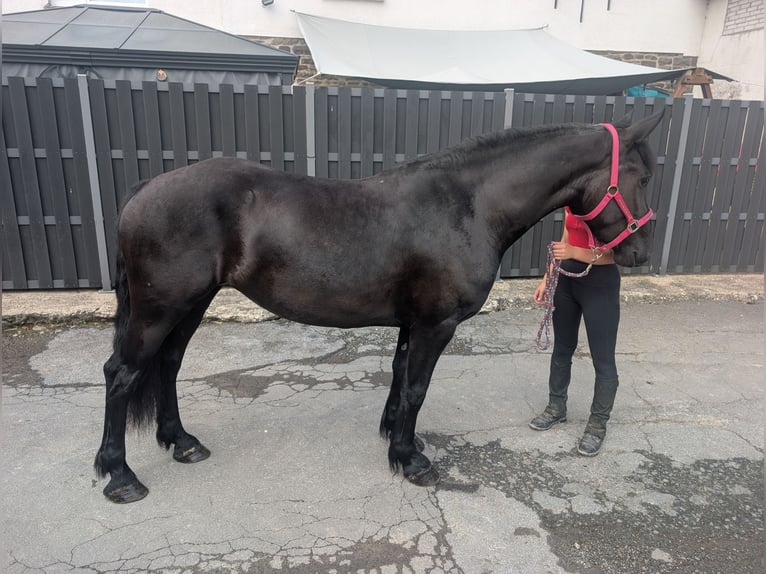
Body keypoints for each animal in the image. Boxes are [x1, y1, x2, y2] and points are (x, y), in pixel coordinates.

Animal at [95, 110, 664, 503]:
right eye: (641, 177)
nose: (639, 253)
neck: (468, 205)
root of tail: (146, 188)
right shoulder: (436, 324)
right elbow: (416, 387)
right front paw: (411, 461)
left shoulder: (413, 323)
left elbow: (399, 377)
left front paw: (394, 436)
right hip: (160, 309)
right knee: (122, 374)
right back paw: (119, 476)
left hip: (189, 306)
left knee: (167, 366)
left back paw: (181, 442)